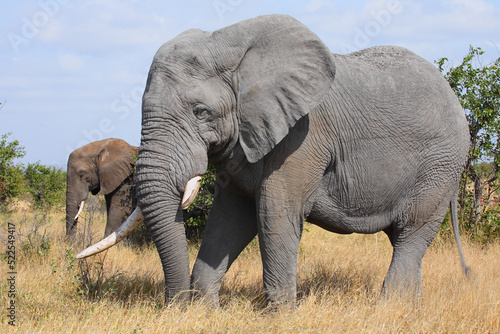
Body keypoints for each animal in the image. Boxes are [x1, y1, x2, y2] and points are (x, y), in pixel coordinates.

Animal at [76, 15, 470, 308]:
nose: (174, 306)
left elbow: (273, 212)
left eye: (201, 112)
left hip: (440, 166)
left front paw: (280, 317)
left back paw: (390, 310)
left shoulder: (304, 136)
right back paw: (412, 308)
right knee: (404, 239)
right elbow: (230, 217)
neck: (230, 46)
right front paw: (204, 311)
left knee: (412, 231)